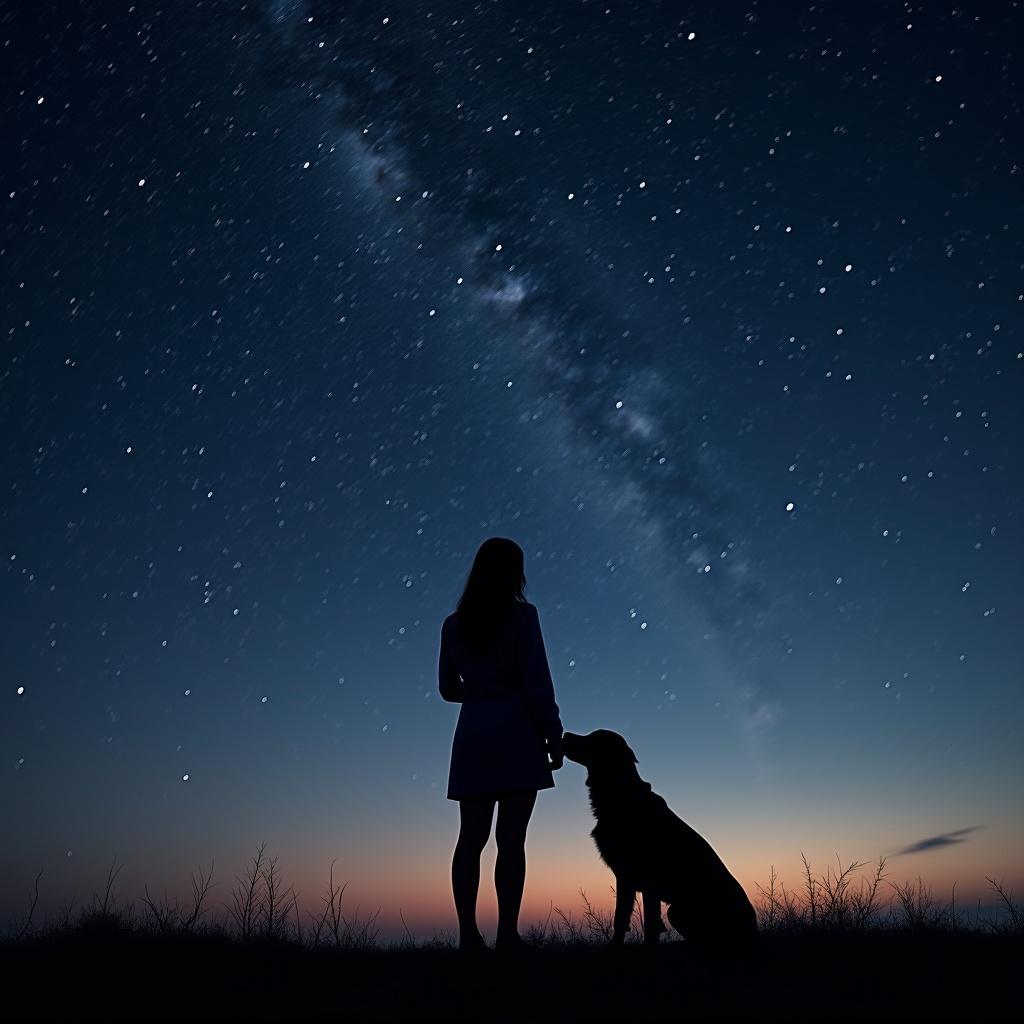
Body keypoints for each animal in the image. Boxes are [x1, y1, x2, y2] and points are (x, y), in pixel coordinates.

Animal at [561, 729, 761, 942]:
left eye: (594, 738)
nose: (566, 734)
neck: (623, 796)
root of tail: (753, 928)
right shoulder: (626, 878)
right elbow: (620, 920)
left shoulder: (645, 883)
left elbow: (648, 925)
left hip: (679, 911)